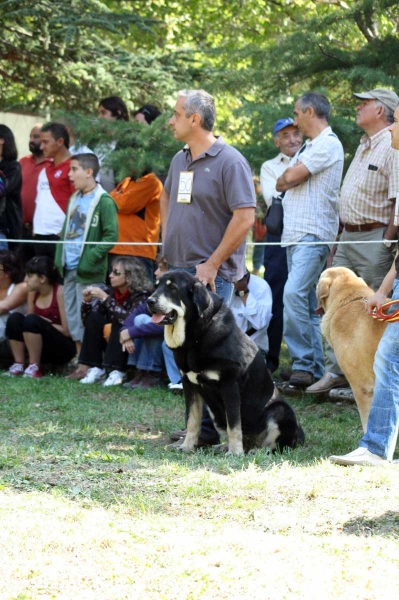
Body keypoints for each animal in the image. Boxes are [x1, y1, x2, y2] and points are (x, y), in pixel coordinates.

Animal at [148, 272, 304, 454]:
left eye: (172, 288)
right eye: (156, 286)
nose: (149, 301)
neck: (195, 335)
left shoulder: (229, 384)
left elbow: (234, 424)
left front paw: (235, 452)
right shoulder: (189, 385)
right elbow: (193, 421)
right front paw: (186, 446)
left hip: (280, 411)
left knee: (275, 445)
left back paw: (255, 451)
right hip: (215, 414)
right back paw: (224, 447)